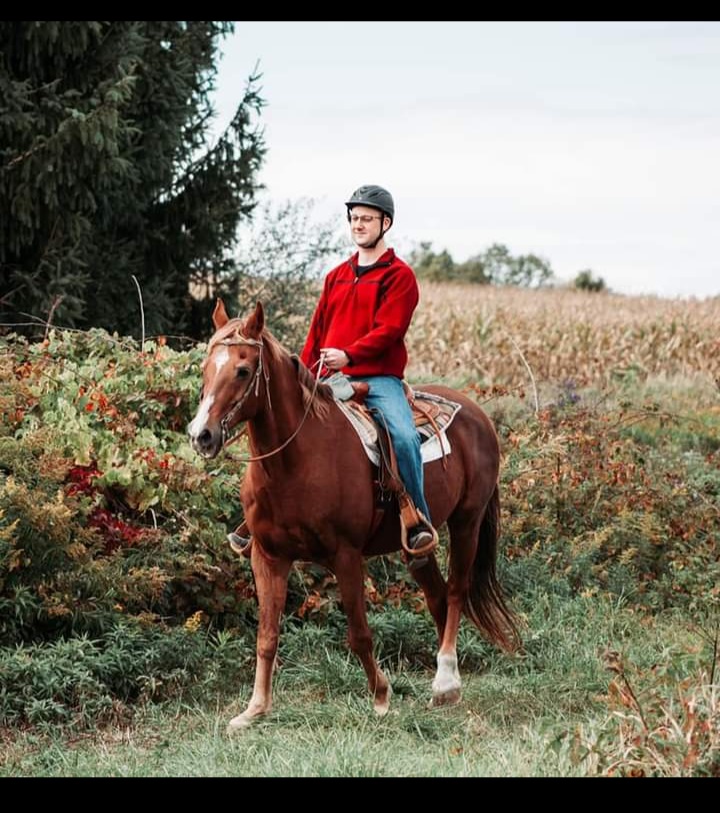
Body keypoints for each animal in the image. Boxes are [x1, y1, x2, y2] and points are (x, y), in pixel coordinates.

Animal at [188, 300, 516, 728]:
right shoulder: (268, 556)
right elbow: (266, 635)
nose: (201, 435)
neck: (296, 461)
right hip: (416, 546)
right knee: (437, 595)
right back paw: (450, 682)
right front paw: (254, 709)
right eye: (206, 367)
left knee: (457, 590)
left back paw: (445, 680)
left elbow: (359, 633)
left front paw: (381, 696)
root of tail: (479, 416)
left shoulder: (345, 555)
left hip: (467, 522)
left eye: (243, 370)